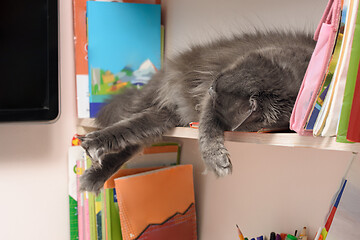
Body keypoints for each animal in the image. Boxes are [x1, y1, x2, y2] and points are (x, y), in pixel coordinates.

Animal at [79, 30, 316, 194]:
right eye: (217, 80)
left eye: (219, 88)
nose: (210, 86)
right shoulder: (208, 104)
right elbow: (208, 128)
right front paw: (217, 160)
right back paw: (91, 155)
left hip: (162, 118)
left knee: (131, 135)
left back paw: (93, 167)